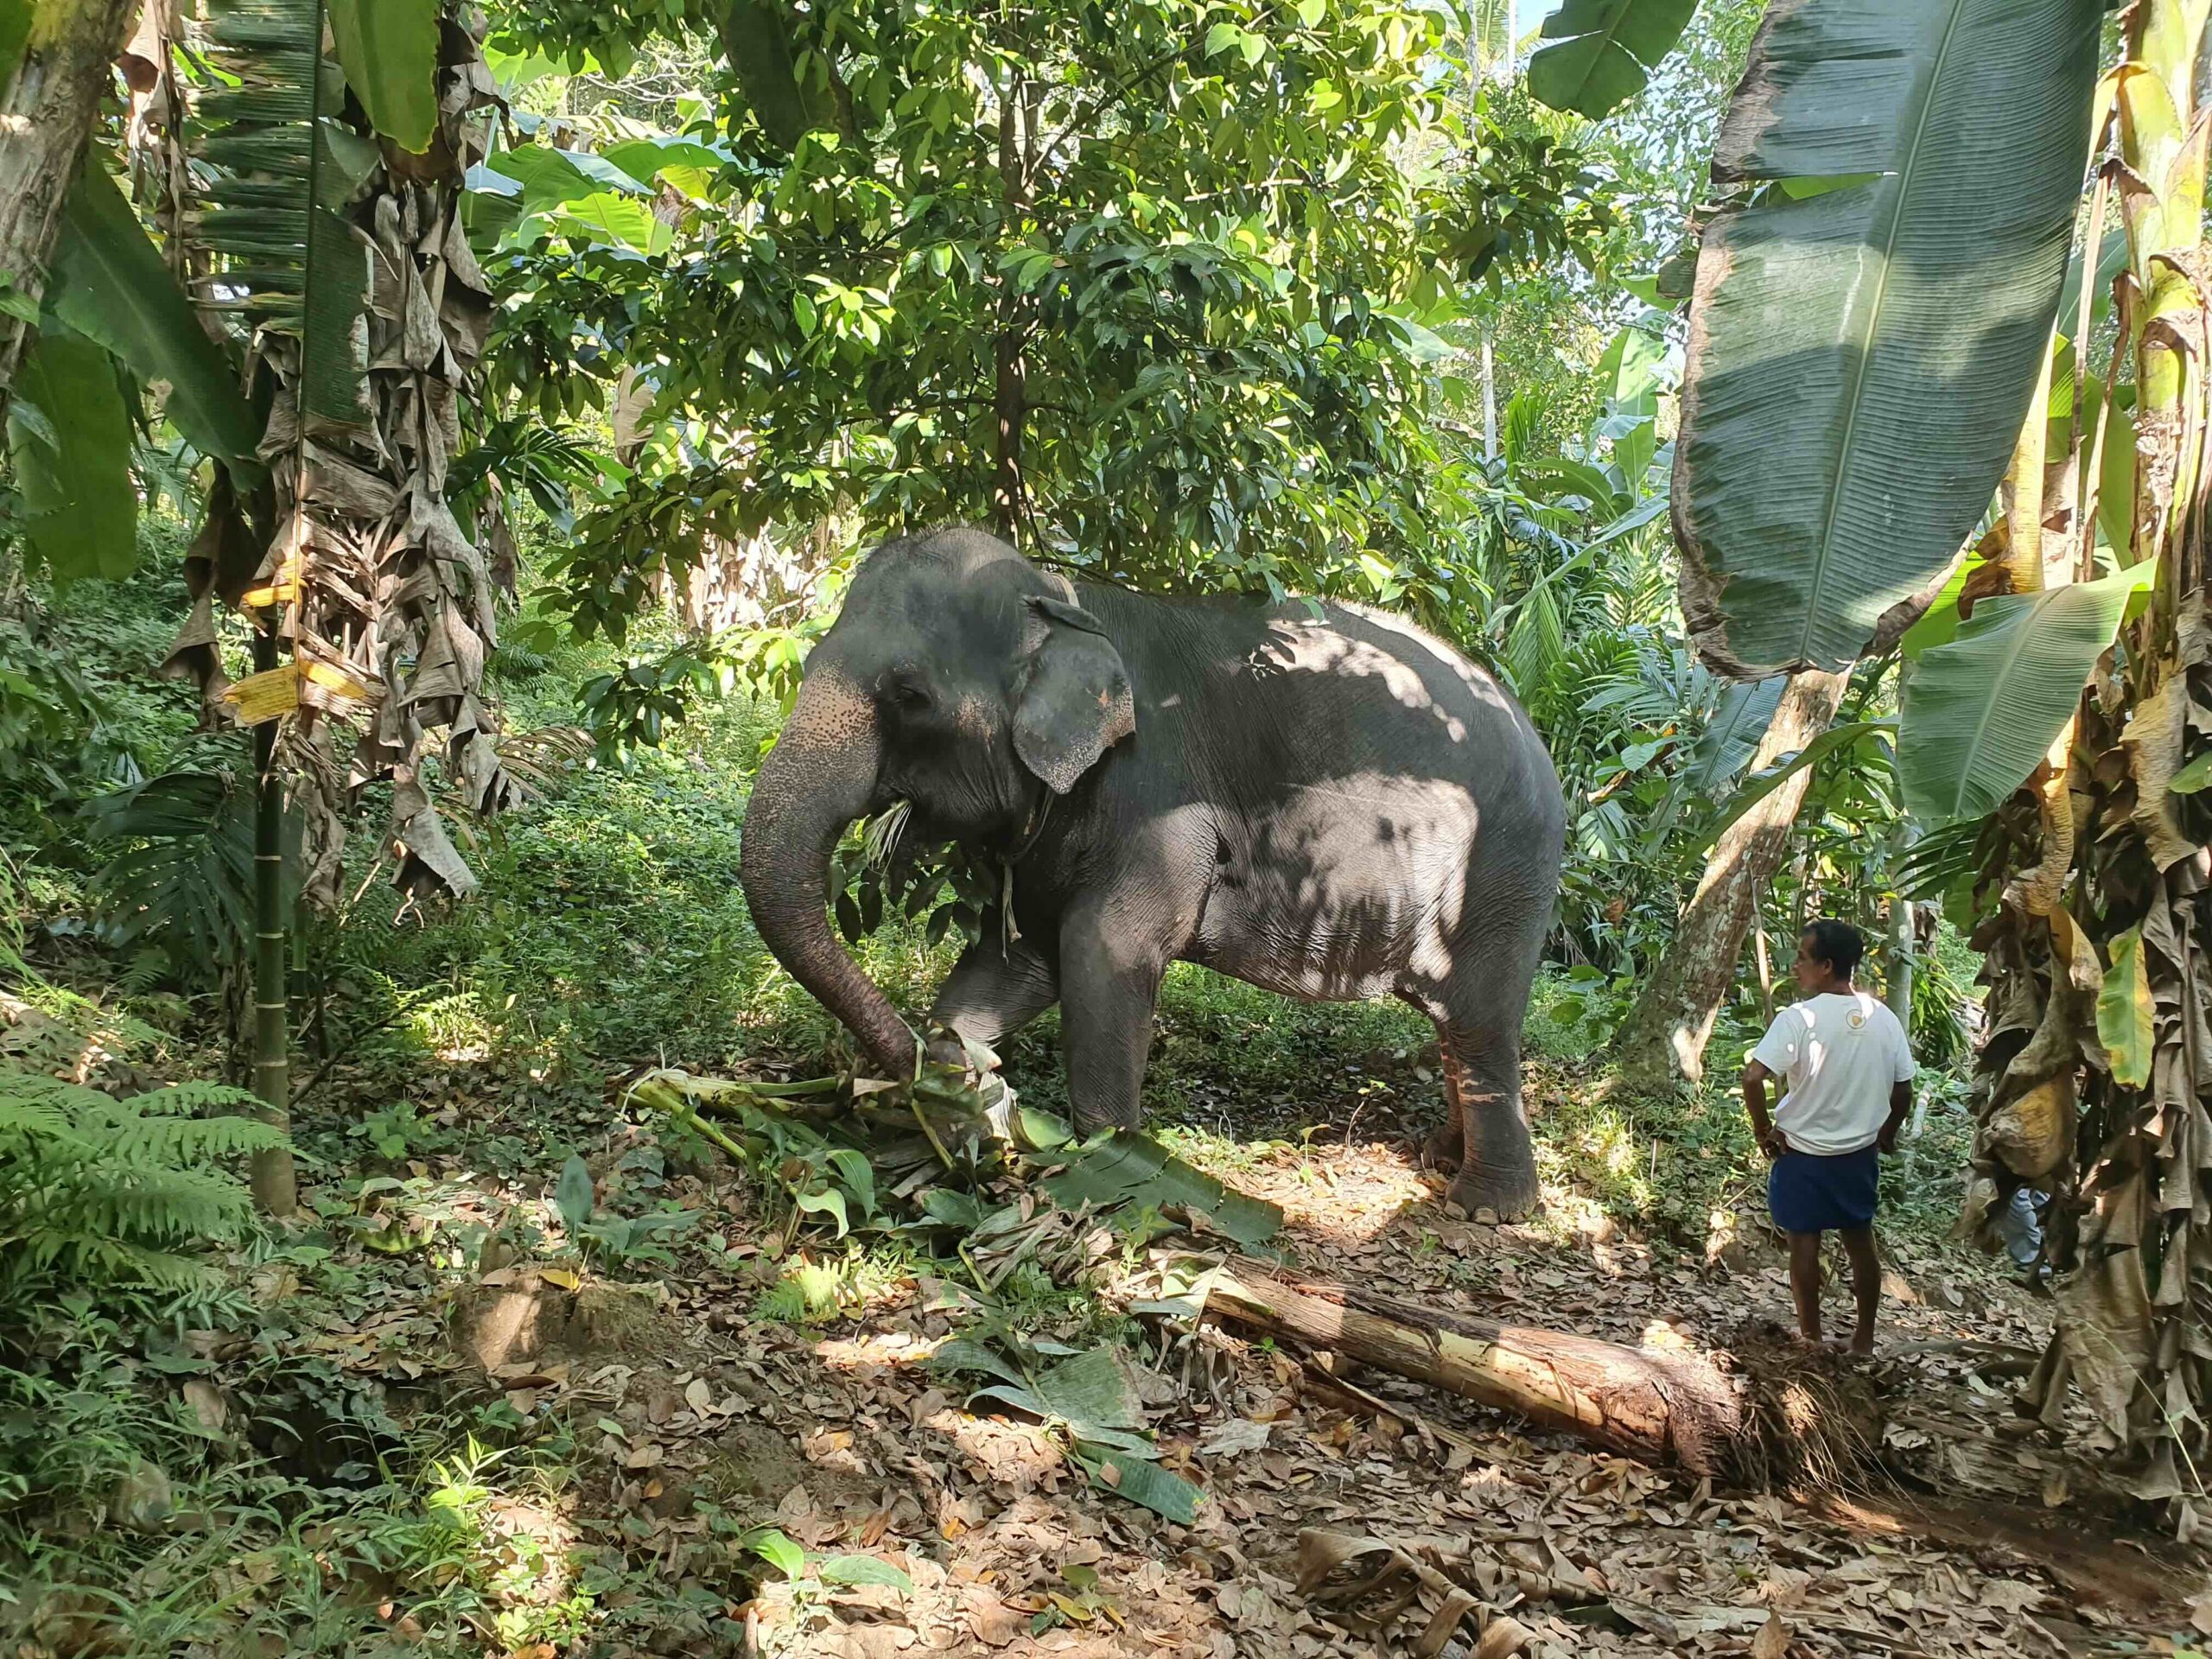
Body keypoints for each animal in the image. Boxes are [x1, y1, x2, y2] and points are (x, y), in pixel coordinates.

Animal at [738, 527, 1566, 1219]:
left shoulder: (1159, 803)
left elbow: (1103, 953)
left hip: (1502, 873)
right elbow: (1023, 958)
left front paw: (1105, 1173)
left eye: (910, 695)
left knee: (1481, 1023)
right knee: (1452, 1025)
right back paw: (1440, 1157)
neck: (1067, 599)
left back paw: (1484, 1208)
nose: (909, 1070)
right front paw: (951, 1088)